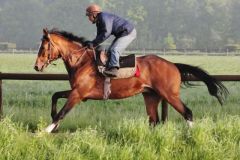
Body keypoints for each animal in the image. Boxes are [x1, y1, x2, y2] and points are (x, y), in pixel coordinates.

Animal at [34, 28, 229, 132]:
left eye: (43, 47)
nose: (37, 66)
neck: (81, 61)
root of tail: (173, 64)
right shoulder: (78, 92)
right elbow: (55, 95)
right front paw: (52, 122)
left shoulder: (79, 93)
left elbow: (62, 112)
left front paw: (46, 131)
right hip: (151, 96)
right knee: (154, 120)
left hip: (170, 95)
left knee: (187, 112)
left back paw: (191, 135)